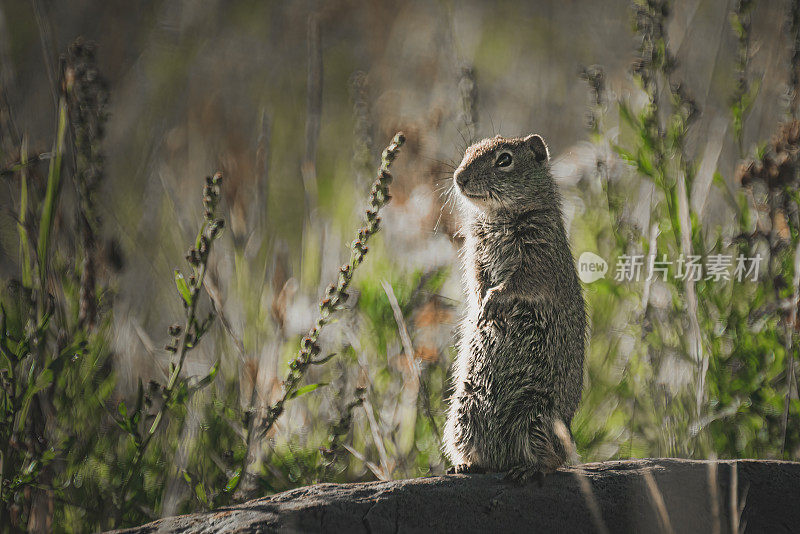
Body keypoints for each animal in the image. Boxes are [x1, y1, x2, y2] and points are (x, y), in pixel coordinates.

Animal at [440, 135, 584, 486]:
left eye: (504, 160)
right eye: (468, 152)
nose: (459, 178)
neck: (497, 217)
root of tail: (504, 457)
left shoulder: (538, 257)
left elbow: (517, 283)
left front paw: (492, 302)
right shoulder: (474, 254)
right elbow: (477, 281)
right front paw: (480, 308)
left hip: (537, 419)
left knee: (554, 460)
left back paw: (528, 469)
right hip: (463, 414)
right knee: (480, 455)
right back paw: (466, 465)